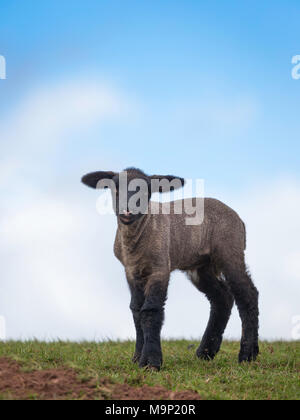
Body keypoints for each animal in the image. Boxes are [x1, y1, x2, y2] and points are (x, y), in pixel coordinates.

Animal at [81, 167, 258, 370]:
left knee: (247, 294)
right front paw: (137, 357)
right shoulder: (131, 271)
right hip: (201, 266)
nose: (127, 210)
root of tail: (238, 218)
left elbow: (150, 311)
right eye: (115, 188)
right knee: (222, 297)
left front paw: (151, 361)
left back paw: (248, 354)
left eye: (146, 190)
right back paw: (205, 352)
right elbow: (136, 310)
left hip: (230, 250)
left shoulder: (160, 268)